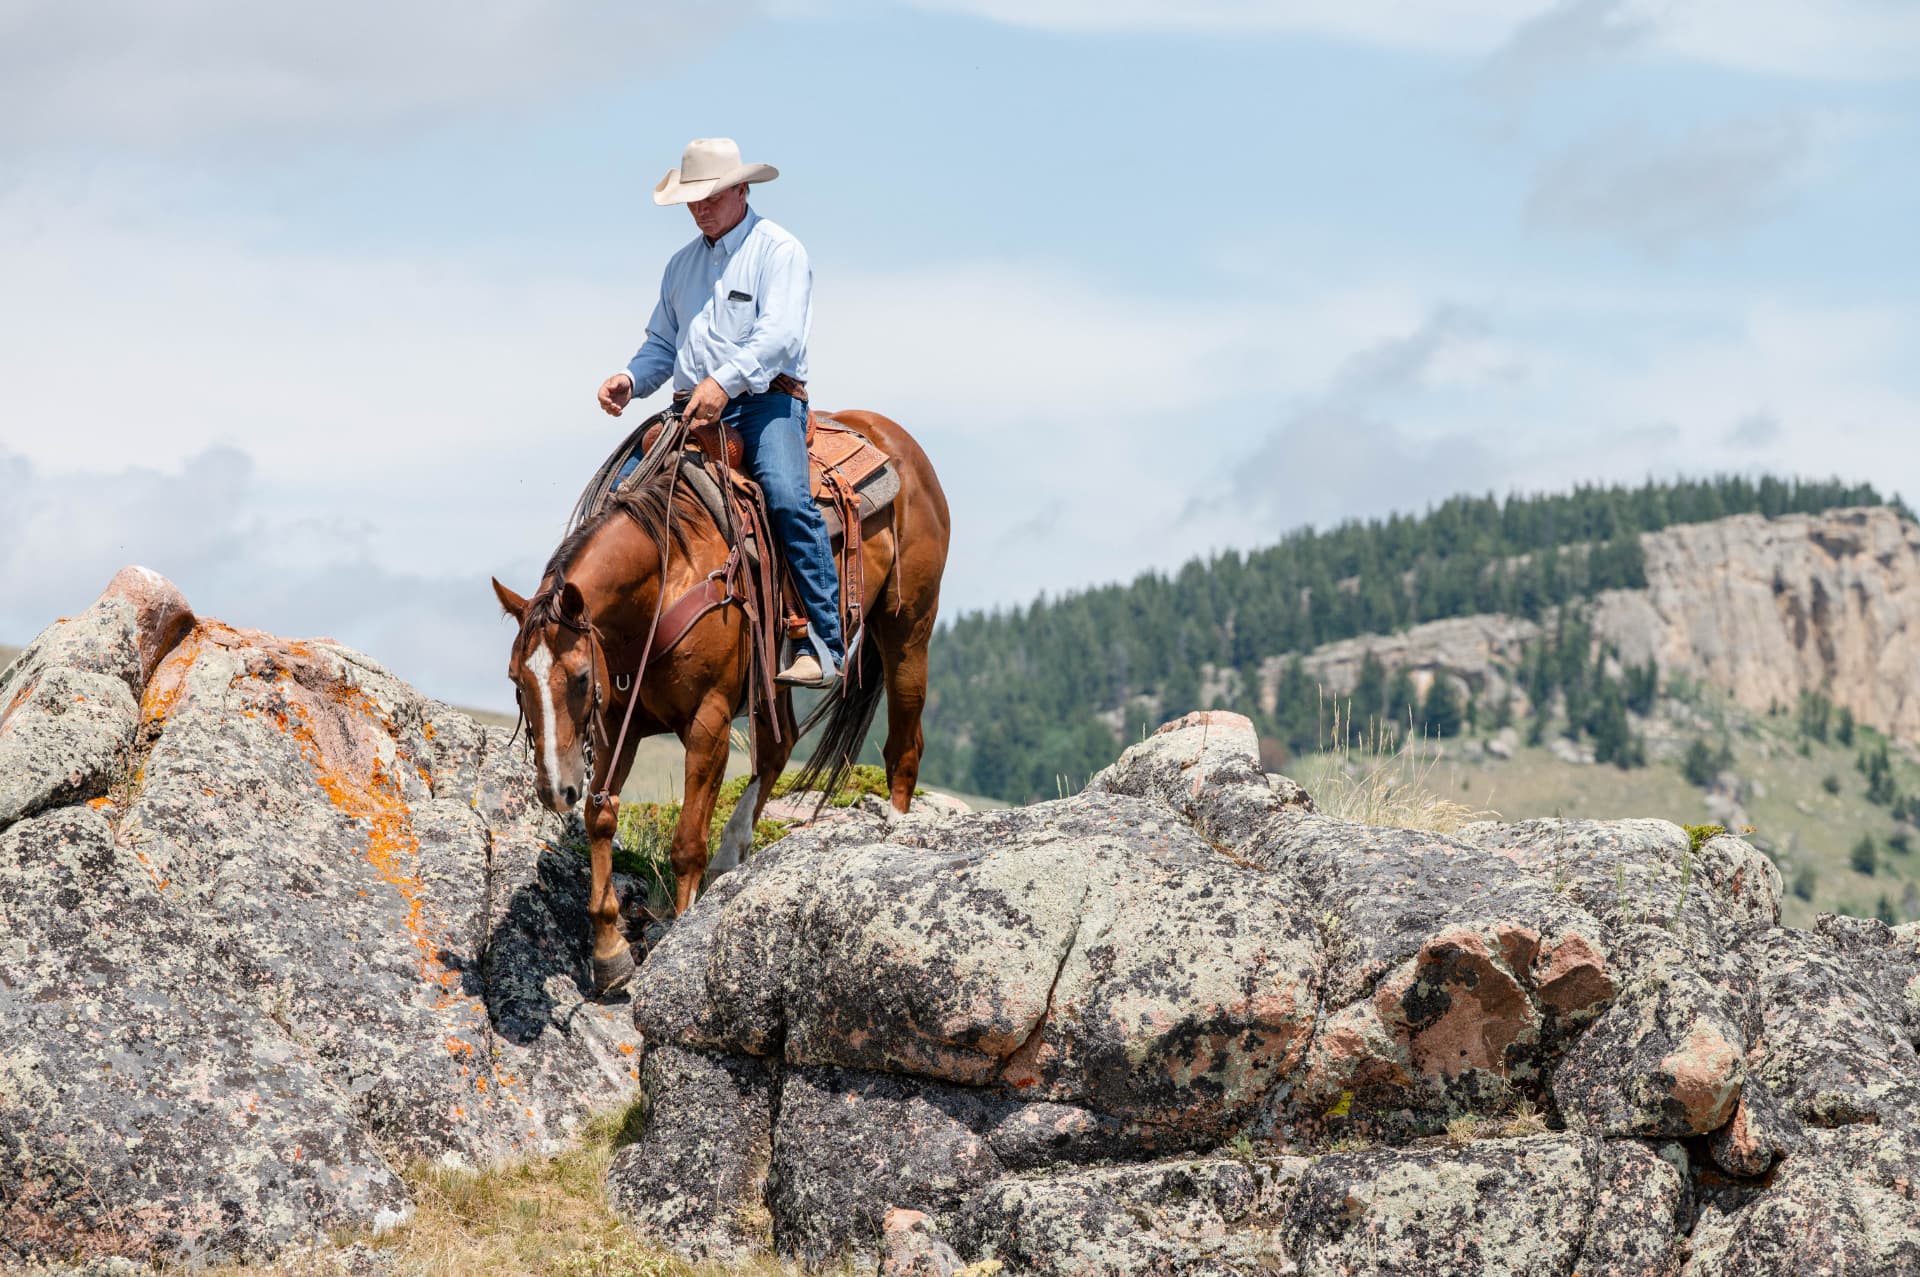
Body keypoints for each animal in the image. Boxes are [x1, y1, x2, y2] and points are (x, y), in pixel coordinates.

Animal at [491, 409, 950, 994]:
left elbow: (686, 842)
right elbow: (601, 818)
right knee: (779, 748)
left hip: (908, 629)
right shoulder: (619, 723)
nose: (554, 788)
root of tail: (896, 439)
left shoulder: (706, 720)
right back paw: (732, 853)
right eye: (516, 679)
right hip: (776, 679)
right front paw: (610, 951)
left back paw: (891, 831)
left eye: (578, 677)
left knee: (904, 744)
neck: (663, 580)